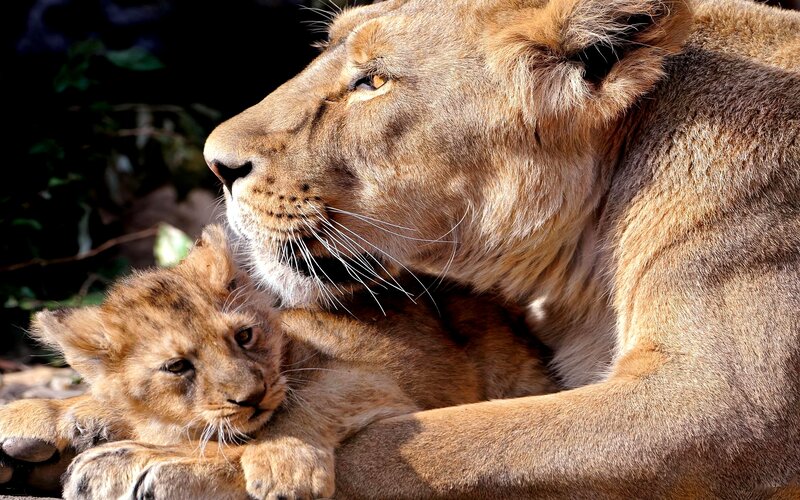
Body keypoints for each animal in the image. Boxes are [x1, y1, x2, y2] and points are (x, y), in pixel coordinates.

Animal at [0, 224, 555, 498]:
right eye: (178, 367)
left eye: (245, 336)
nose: (251, 396)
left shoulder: (368, 376)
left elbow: (296, 410)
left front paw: (285, 466)